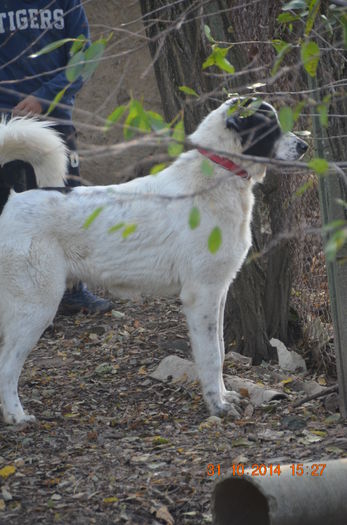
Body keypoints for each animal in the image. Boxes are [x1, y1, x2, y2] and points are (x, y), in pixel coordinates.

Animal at [0, 100, 308, 424]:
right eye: (269, 126)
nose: (305, 146)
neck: (217, 173)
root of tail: (14, 199)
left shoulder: (218, 292)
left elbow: (221, 350)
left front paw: (224, 396)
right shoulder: (202, 295)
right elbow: (211, 356)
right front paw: (217, 406)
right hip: (36, 306)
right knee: (7, 365)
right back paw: (17, 416)